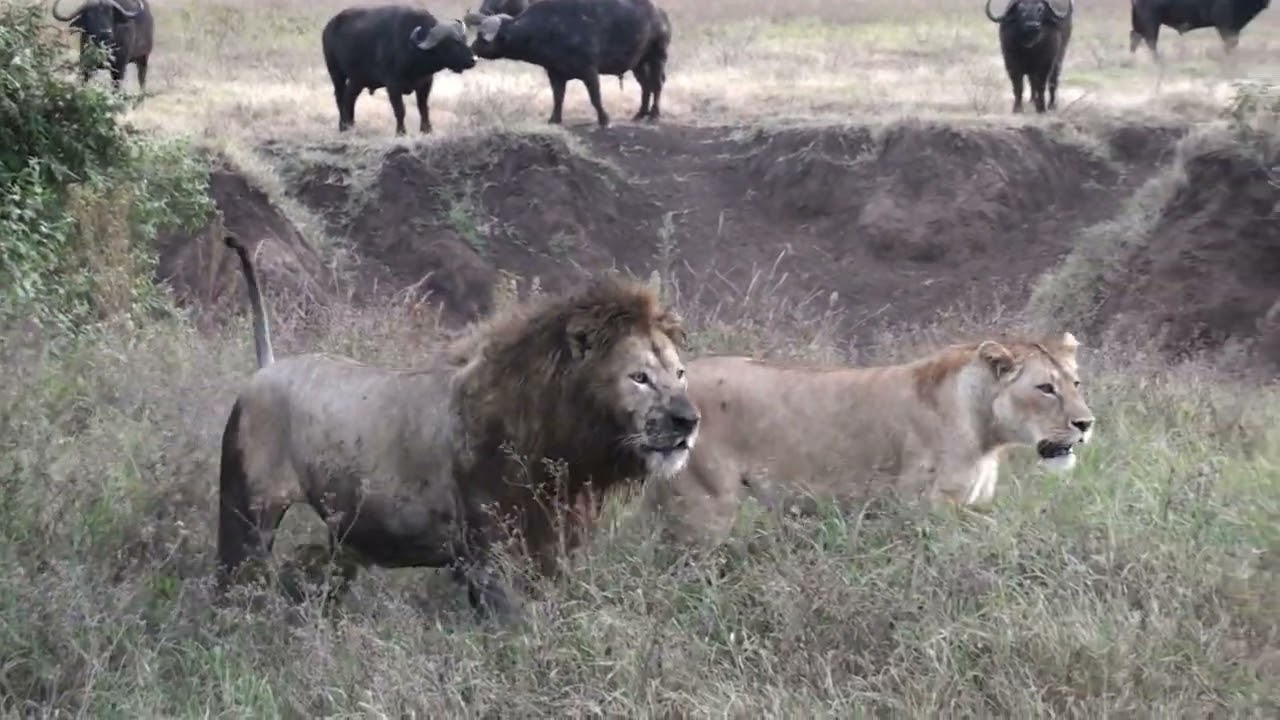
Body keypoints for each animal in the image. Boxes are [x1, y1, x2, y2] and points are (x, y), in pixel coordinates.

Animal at [216, 235, 700, 617]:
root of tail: (267, 367)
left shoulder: (553, 551)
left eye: (679, 373)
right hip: (246, 515)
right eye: (639, 377)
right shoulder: (491, 558)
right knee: (234, 583)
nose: (689, 420)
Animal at [645, 333, 1095, 546]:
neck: (988, 434)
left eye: (1075, 383)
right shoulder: (925, 510)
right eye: (1045, 388)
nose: (1086, 423)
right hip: (706, 507)